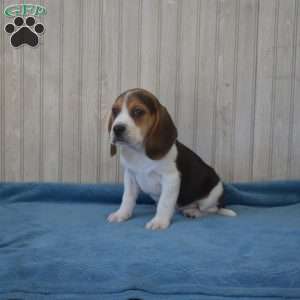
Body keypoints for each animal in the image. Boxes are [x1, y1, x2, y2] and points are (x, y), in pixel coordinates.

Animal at [106, 87, 236, 230]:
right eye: (115, 111)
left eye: (138, 111)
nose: (117, 128)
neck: (139, 152)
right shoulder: (130, 177)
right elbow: (127, 198)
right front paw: (121, 214)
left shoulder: (171, 179)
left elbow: (165, 203)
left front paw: (159, 221)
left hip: (213, 194)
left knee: (210, 210)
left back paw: (194, 212)